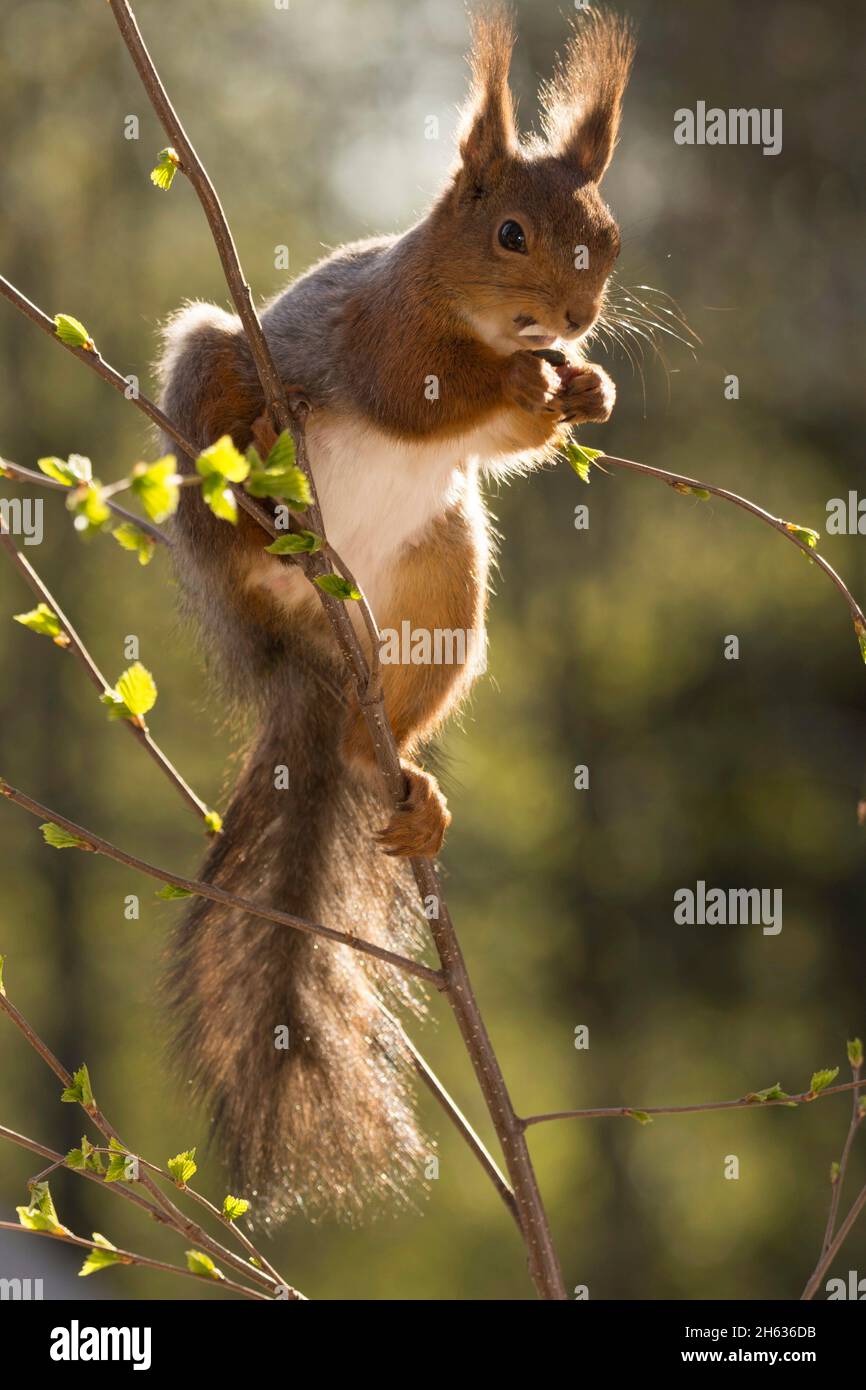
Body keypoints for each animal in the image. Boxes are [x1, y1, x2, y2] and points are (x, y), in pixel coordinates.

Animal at [155, 10, 633, 1223]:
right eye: (510, 232)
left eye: (607, 237)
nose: (575, 319)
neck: (479, 323)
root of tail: (310, 656)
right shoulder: (376, 332)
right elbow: (419, 392)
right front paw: (526, 384)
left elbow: (514, 439)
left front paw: (587, 389)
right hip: (210, 380)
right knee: (226, 444)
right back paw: (261, 498)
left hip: (445, 572)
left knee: (397, 721)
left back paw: (404, 780)